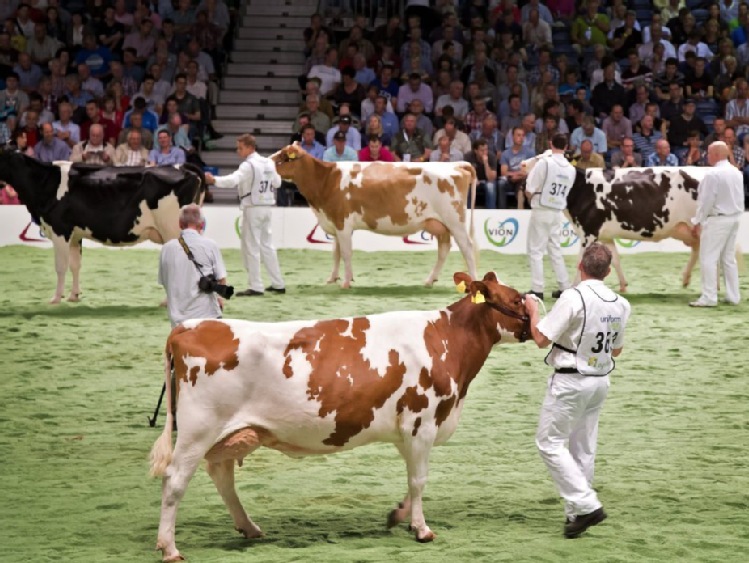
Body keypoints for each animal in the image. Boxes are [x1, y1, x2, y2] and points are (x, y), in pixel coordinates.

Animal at [0, 152, 205, 304]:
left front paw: (56, 298)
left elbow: (61, 266)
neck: (44, 181)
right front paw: (74, 296)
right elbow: (75, 265)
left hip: (172, 229)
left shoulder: (60, 230)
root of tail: (181, 166)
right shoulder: (75, 235)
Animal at [149, 272, 528, 560]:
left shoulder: (407, 431)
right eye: (515, 299)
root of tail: (189, 327)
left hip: (231, 433)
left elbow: (411, 481)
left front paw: (399, 515)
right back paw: (170, 548)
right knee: (175, 481)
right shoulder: (421, 423)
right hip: (198, 429)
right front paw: (422, 530)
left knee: (221, 475)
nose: (535, 301)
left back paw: (249, 527)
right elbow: (419, 480)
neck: (444, 340)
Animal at [272, 143, 476, 288]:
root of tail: (457, 165)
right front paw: (332, 278)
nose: (266, 160)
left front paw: (346, 282)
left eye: (283, 157)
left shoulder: (343, 223)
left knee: (467, 248)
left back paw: (472, 282)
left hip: (455, 220)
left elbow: (345, 253)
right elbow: (336, 253)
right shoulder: (335, 222)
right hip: (439, 224)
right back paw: (429, 280)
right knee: (444, 249)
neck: (327, 179)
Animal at [520, 156, 708, 294]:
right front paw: (623, 285)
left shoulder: (588, 232)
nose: (522, 164)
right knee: (698, 249)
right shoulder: (605, 235)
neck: (582, 188)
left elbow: (581, 260)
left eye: (539, 158)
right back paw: (687, 279)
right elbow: (615, 259)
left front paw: (573, 287)